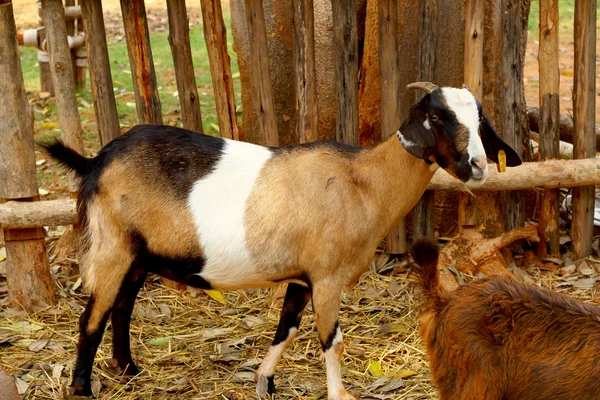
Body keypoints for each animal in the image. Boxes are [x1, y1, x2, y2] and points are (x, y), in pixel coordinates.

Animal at [42, 83, 520, 398]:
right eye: (437, 117)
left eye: (480, 120)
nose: (479, 165)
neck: (363, 181)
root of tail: (98, 159)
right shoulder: (327, 277)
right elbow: (332, 340)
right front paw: (338, 395)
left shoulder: (302, 276)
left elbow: (285, 328)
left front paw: (264, 382)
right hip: (112, 246)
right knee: (92, 317)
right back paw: (82, 388)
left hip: (139, 255)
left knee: (121, 309)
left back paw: (129, 370)